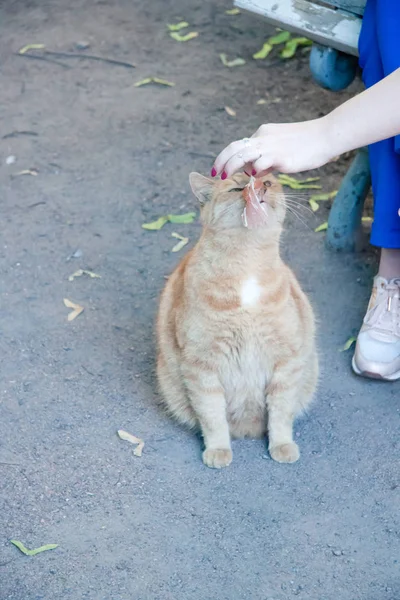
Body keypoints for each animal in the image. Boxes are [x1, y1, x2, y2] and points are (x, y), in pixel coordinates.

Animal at [157, 173, 318, 468]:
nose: (260, 187)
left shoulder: (286, 360)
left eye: (268, 181)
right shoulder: (201, 365)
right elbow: (212, 416)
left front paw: (282, 445)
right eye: (237, 188)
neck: (248, 267)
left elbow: (280, 412)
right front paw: (218, 449)